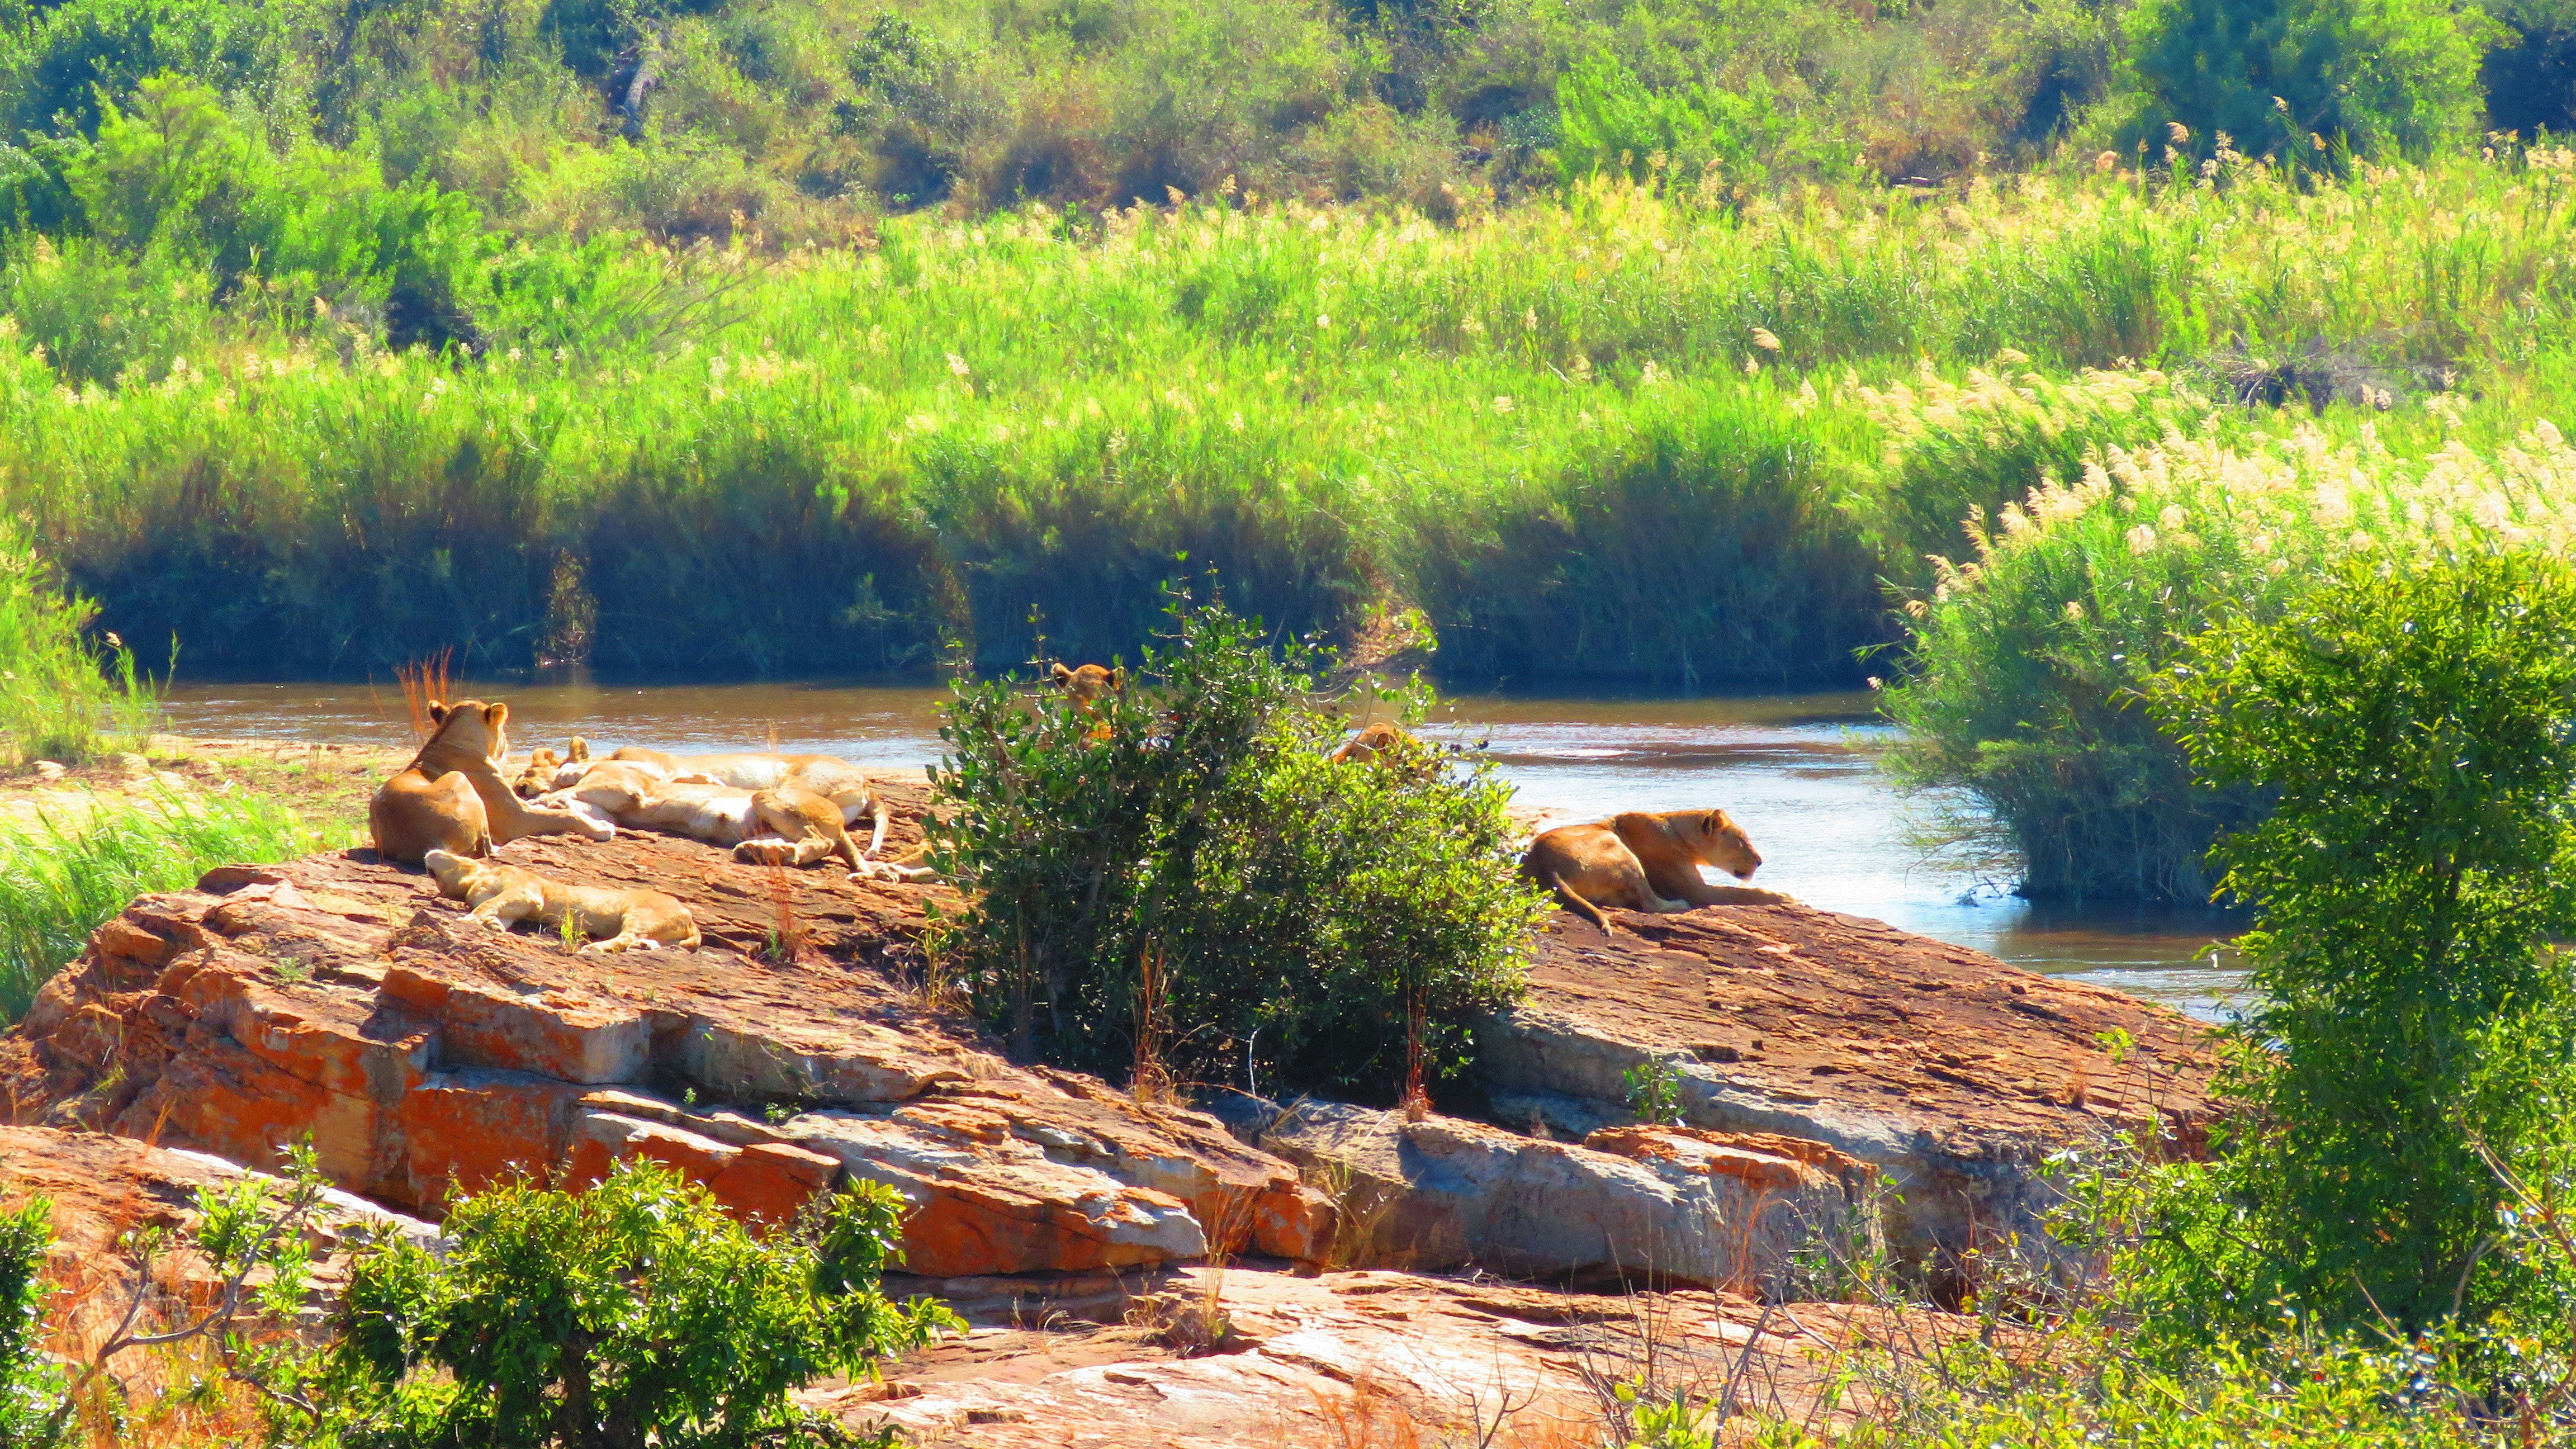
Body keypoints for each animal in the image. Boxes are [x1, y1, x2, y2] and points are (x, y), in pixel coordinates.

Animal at [370, 701, 614, 864]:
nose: (507, 744)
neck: (450, 741)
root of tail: (432, 844)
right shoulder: (517, 818)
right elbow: (567, 815)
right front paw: (601, 827)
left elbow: (547, 805)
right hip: (459, 779)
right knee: (486, 848)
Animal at [423, 848, 701, 953]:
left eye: (458, 855)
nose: (428, 854)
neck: (478, 879)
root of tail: (689, 916)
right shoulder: (518, 906)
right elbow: (496, 912)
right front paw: (495, 926)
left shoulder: (527, 892)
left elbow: (487, 904)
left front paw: (468, 919)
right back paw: (645, 946)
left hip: (640, 914)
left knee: (626, 937)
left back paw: (595, 948)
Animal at [1520, 810, 1792, 934]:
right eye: (1740, 840)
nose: (1760, 862)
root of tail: (1548, 866)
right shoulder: (1697, 892)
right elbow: (1743, 894)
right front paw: (1784, 897)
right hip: (1615, 844)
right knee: (1651, 904)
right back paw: (1678, 905)